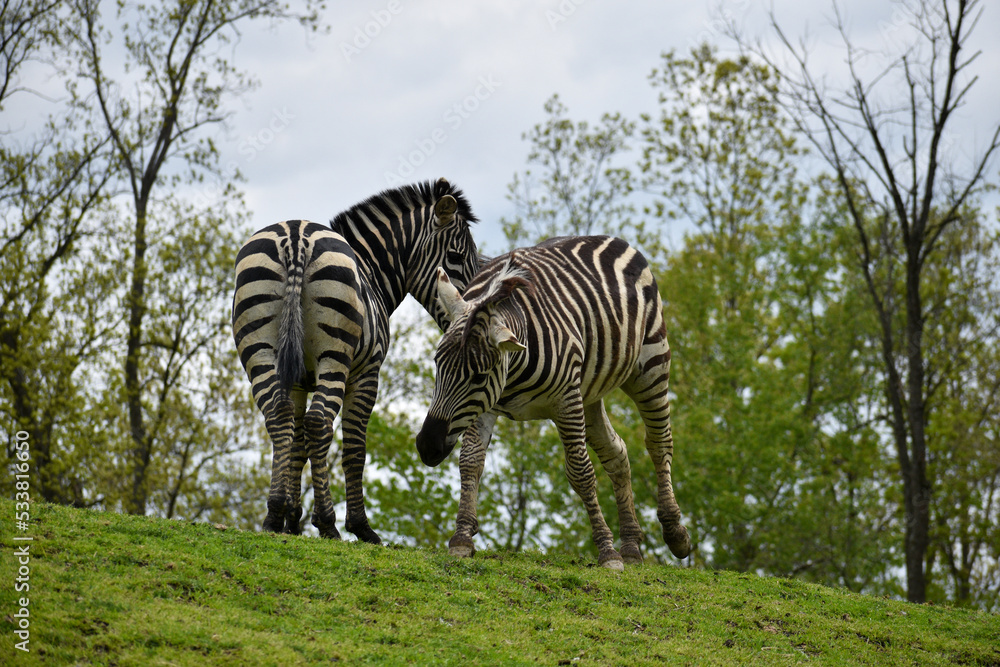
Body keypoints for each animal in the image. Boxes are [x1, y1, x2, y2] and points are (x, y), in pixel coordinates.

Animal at [233, 178, 482, 543]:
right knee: (319, 423)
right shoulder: (367, 372)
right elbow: (354, 448)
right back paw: (328, 522)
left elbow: (296, 445)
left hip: (259, 348)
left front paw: (290, 521)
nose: (473, 315)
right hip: (336, 357)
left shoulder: (297, 380)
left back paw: (273, 513)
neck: (371, 271)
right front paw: (360, 526)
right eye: (455, 257)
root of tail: (295, 236)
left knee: (279, 417)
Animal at [415, 235, 691, 569]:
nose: (427, 446)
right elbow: (470, 461)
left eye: (479, 376)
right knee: (617, 453)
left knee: (659, 442)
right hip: (590, 395)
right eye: (437, 363)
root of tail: (610, 238)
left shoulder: (564, 400)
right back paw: (631, 546)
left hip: (650, 364)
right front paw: (461, 538)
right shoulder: (485, 406)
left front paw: (606, 551)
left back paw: (675, 533)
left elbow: (581, 471)